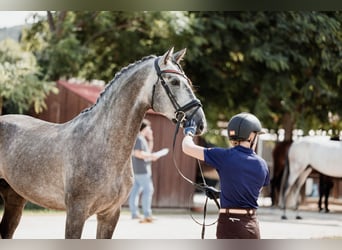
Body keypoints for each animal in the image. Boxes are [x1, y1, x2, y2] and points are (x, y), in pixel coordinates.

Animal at [0, 47, 206, 238]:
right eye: (174, 82)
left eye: (188, 82)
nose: (200, 123)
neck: (102, 144)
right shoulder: (76, 213)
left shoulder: (110, 214)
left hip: (15, 198)